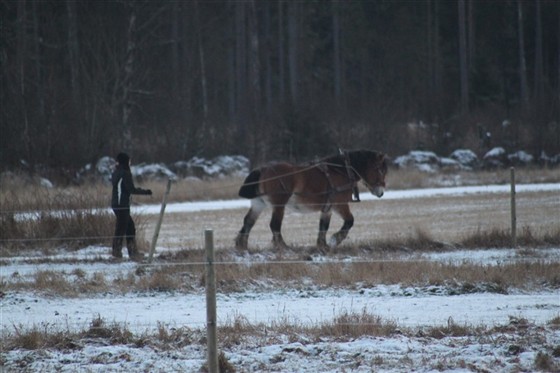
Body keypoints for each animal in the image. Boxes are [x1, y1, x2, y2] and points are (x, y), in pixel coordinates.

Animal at [234, 149, 388, 250]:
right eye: (379, 169)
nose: (380, 192)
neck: (342, 171)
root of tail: (262, 169)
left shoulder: (328, 208)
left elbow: (323, 226)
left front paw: (323, 245)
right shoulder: (340, 204)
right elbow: (350, 221)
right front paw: (335, 240)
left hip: (258, 204)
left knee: (248, 222)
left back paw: (242, 245)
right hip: (279, 205)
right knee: (274, 225)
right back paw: (283, 246)